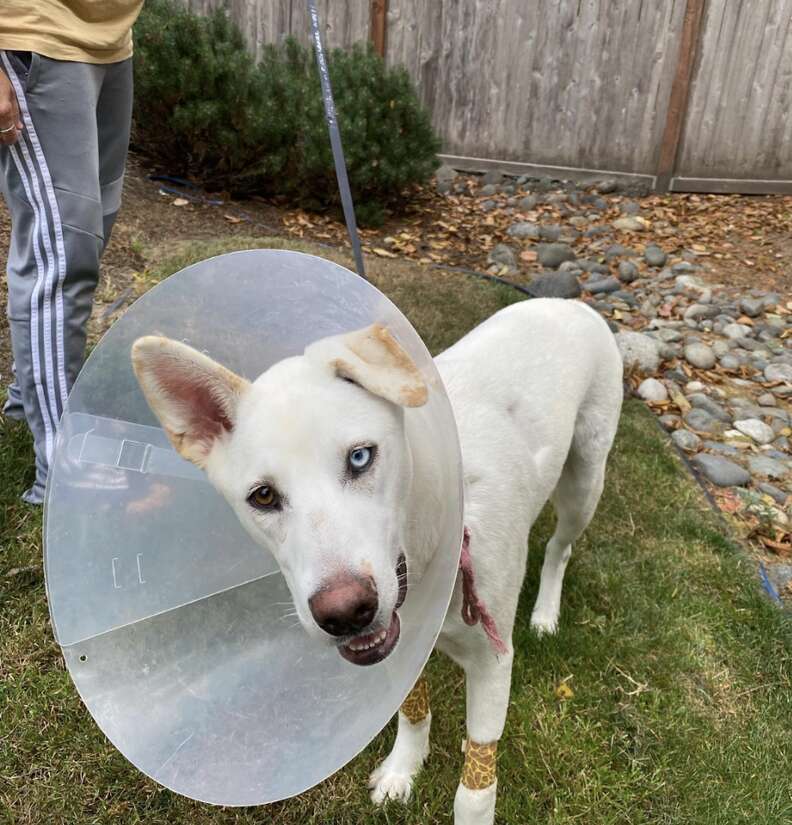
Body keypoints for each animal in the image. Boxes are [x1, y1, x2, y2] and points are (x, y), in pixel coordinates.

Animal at [133, 298, 620, 824]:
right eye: (263, 496)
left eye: (361, 457)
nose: (345, 614)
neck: (431, 546)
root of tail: (566, 302)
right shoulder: (403, 647)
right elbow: (412, 710)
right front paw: (404, 769)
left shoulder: (493, 663)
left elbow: (475, 787)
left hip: (584, 482)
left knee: (559, 548)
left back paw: (546, 613)